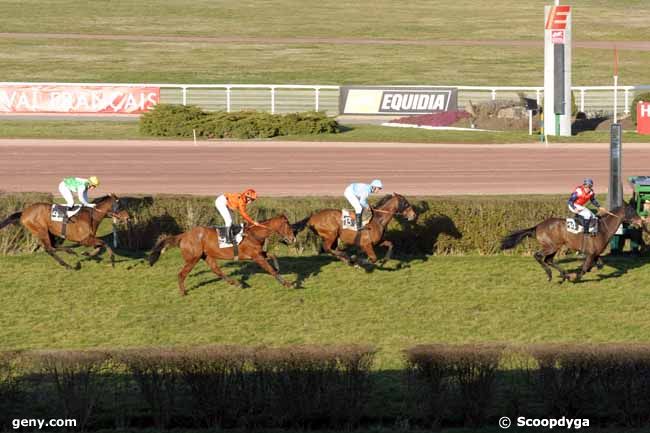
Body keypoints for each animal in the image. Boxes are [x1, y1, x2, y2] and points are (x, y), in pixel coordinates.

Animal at [0, 194, 130, 268]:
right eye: (120, 206)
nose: (128, 218)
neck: (90, 216)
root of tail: (24, 212)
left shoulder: (88, 239)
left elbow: (99, 246)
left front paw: (87, 254)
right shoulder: (84, 239)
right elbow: (105, 243)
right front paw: (112, 261)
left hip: (49, 232)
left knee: (52, 247)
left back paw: (68, 258)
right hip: (41, 230)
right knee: (50, 248)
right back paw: (69, 260)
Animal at [148, 214, 294, 296]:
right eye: (287, 225)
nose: (293, 239)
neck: (254, 234)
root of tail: (183, 235)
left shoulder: (259, 253)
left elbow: (272, 256)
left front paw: (277, 267)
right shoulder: (256, 256)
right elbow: (270, 270)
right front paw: (287, 283)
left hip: (207, 256)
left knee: (216, 270)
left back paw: (237, 283)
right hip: (193, 259)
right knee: (181, 274)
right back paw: (183, 292)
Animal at [496, 201, 644, 282]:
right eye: (631, 210)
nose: (641, 221)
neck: (602, 228)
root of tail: (537, 227)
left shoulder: (595, 254)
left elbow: (598, 265)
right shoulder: (590, 254)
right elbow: (584, 269)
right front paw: (575, 277)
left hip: (555, 247)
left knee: (549, 260)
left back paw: (563, 274)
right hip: (551, 246)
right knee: (538, 256)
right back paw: (551, 274)